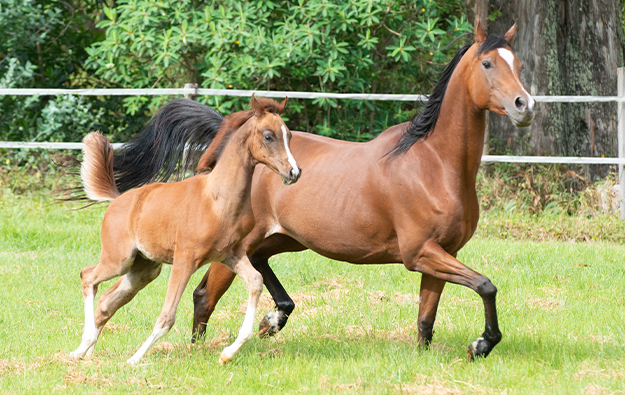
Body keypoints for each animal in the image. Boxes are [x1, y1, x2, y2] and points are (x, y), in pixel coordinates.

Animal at [70, 96, 300, 366]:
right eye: (268, 136)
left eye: (289, 135)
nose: (294, 172)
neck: (218, 199)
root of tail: (118, 199)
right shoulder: (185, 260)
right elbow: (167, 316)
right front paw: (134, 360)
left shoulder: (231, 254)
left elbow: (255, 281)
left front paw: (227, 354)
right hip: (119, 260)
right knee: (87, 276)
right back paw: (82, 346)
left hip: (143, 270)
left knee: (106, 301)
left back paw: (86, 351)